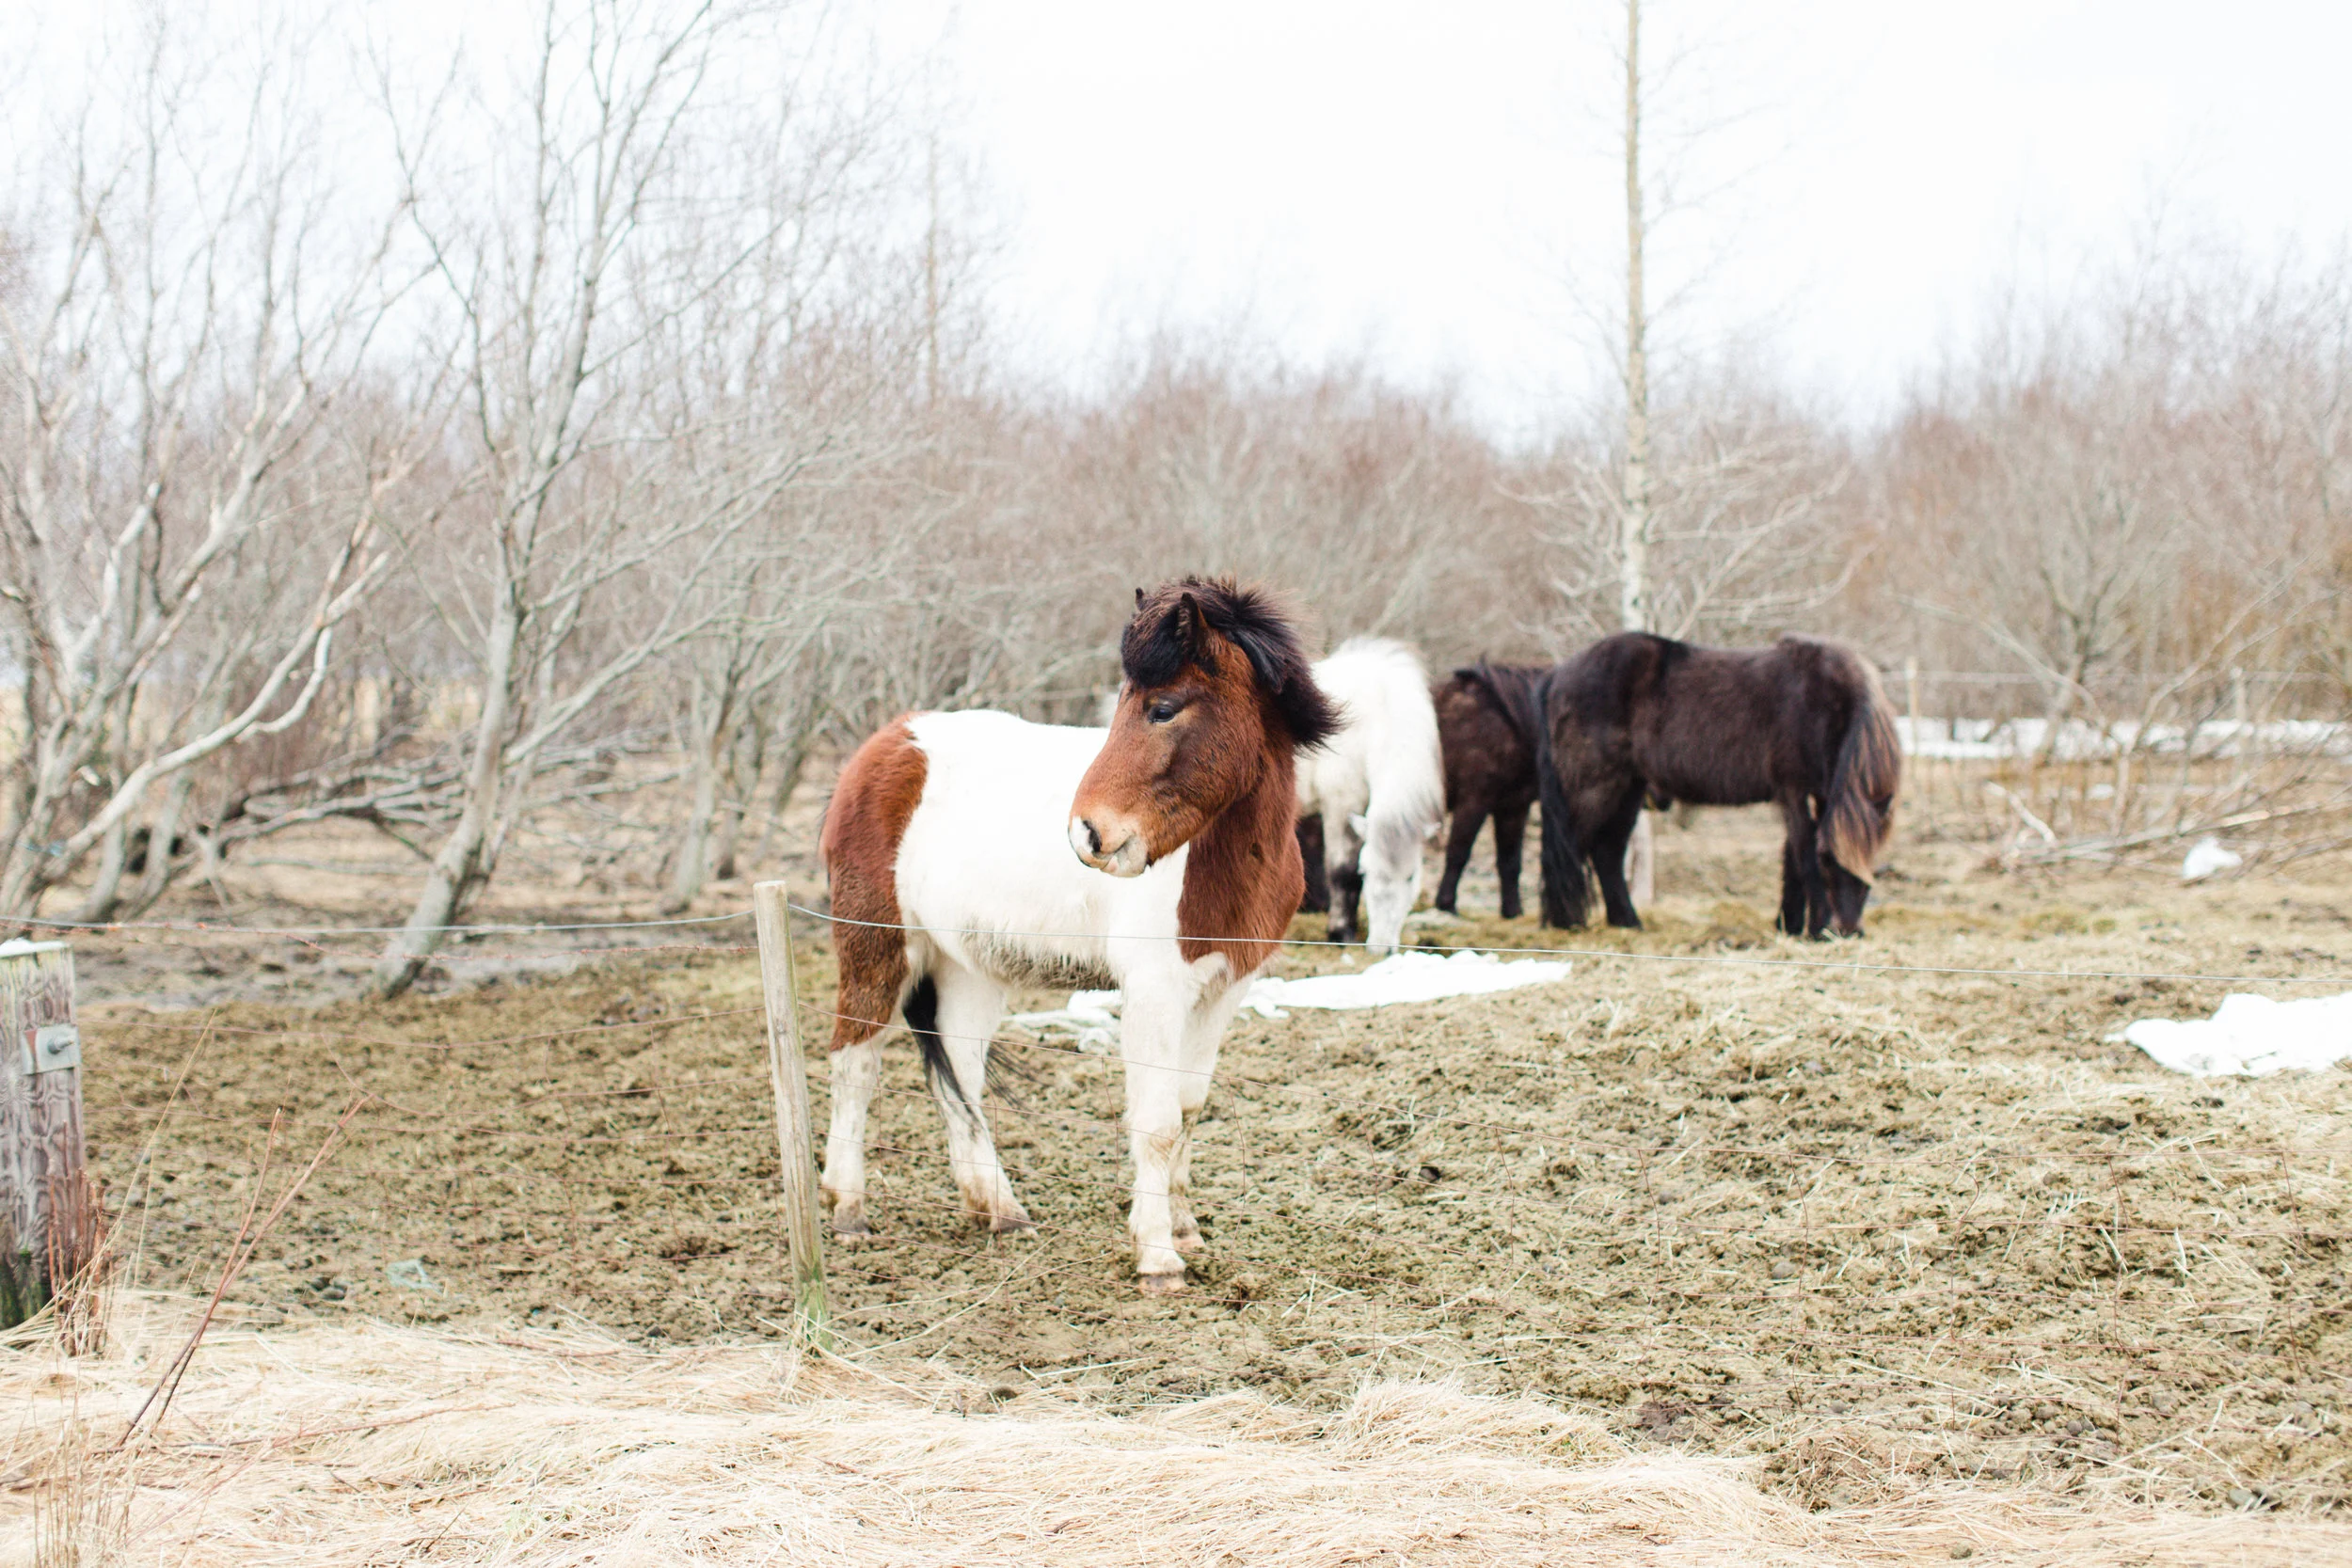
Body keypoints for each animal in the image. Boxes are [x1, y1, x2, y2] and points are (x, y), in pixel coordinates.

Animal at [819, 577, 1339, 1293]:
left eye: (1163, 708)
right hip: (877, 948)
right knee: (857, 1061)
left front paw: (1185, 1230)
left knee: (960, 1068)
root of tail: (888, 744)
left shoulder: (1224, 988)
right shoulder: (1154, 991)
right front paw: (1157, 1256)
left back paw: (999, 1209)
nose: (1087, 834)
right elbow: (1156, 1120)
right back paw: (848, 1209)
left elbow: (1189, 1106)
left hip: (968, 968)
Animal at [1291, 637, 1445, 955]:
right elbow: (1342, 871)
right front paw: (1341, 932)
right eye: (1367, 872)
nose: (1381, 949)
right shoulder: (1340, 808)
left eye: (1411, 876)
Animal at [1430, 661, 1550, 919]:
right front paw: (1446, 904)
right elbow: (1458, 852)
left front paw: (1513, 911)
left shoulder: (1514, 807)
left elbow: (1510, 861)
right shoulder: (1473, 802)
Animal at [1535, 632, 1900, 937]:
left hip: (1628, 789)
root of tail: (1557, 674)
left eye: (1868, 873)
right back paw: (1566, 923)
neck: (1823, 699)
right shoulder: (1793, 792)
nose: (1847, 931)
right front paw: (1815, 927)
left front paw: (1789, 925)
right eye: (1827, 863)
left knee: (1606, 852)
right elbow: (1804, 855)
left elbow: (1792, 859)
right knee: (1569, 849)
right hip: (1595, 786)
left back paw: (1628, 922)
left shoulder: (1821, 793)